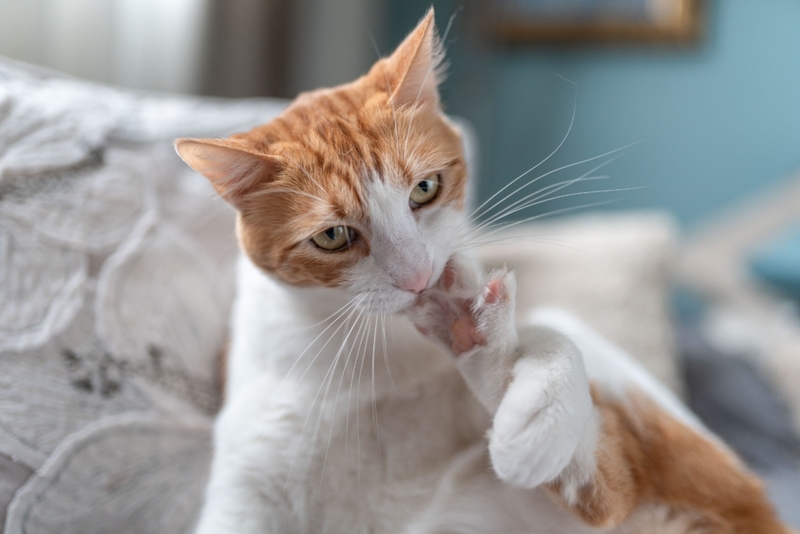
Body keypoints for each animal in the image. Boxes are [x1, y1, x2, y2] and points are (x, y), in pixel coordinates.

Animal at [175, 9, 792, 534]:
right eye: (332, 237)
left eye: (425, 188)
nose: (420, 277)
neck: (374, 362)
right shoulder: (244, 492)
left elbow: (556, 342)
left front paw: (532, 401)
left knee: (606, 481)